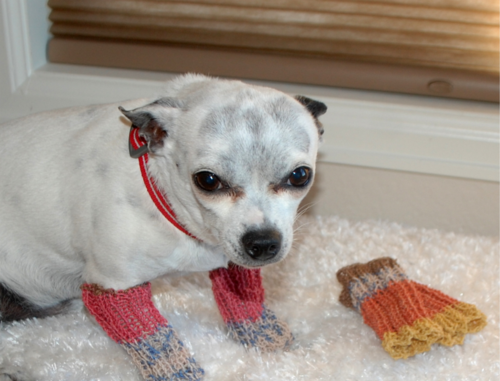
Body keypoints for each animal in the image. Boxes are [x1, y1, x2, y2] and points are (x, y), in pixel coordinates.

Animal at [0, 73, 326, 378]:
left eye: (300, 175)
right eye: (208, 180)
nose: (262, 242)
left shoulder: (232, 262)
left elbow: (243, 300)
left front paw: (267, 338)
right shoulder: (112, 287)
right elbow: (153, 337)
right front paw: (177, 370)